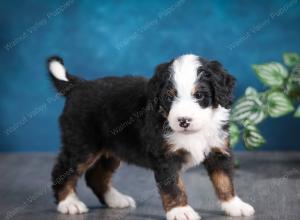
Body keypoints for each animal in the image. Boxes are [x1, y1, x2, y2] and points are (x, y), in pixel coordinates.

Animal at [48, 54, 254, 219]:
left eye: (200, 95)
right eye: (169, 97)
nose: (183, 121)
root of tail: (79, 85)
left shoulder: (218, 150)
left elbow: (224, 180)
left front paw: (234, 205)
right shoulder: (165, 156)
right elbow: (174, 186)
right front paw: (181, 211)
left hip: (112, 149)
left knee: (96, 176)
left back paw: (116, 200)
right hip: (82, 144)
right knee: (62, 171)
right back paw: (69, 203)